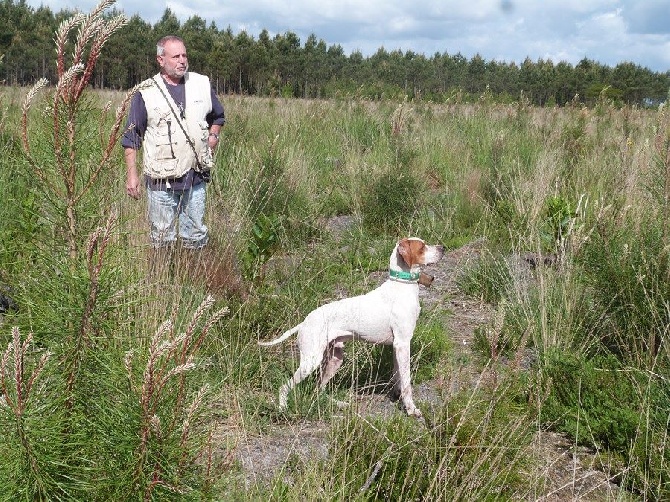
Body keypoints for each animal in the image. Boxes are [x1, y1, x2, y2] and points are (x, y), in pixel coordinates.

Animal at [258, 237, 446, 418]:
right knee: (285, 387)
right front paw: (411, 409)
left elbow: (397, 376)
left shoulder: (396, 347)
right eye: (422, 247)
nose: (443, 248)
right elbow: (406, 382)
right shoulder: (403, 343)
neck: (401, 285)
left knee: (318, 389)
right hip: (311, 361)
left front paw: (397, 396)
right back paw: (283, 409)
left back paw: (339, 404)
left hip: (335, 359)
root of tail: (304, 322)